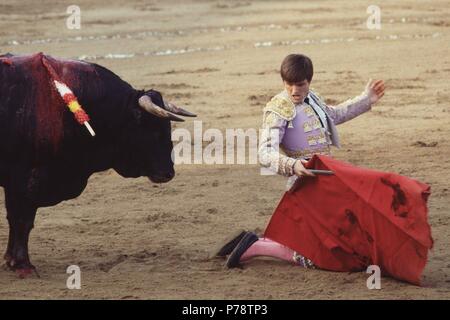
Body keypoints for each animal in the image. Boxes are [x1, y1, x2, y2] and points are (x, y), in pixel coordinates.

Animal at [0, 52, 195, 276]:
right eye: (152, 129)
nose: (168, 173)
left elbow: (17, 220)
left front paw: (11, 259)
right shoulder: (24, 179)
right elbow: (22, 220)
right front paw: (23, 264)